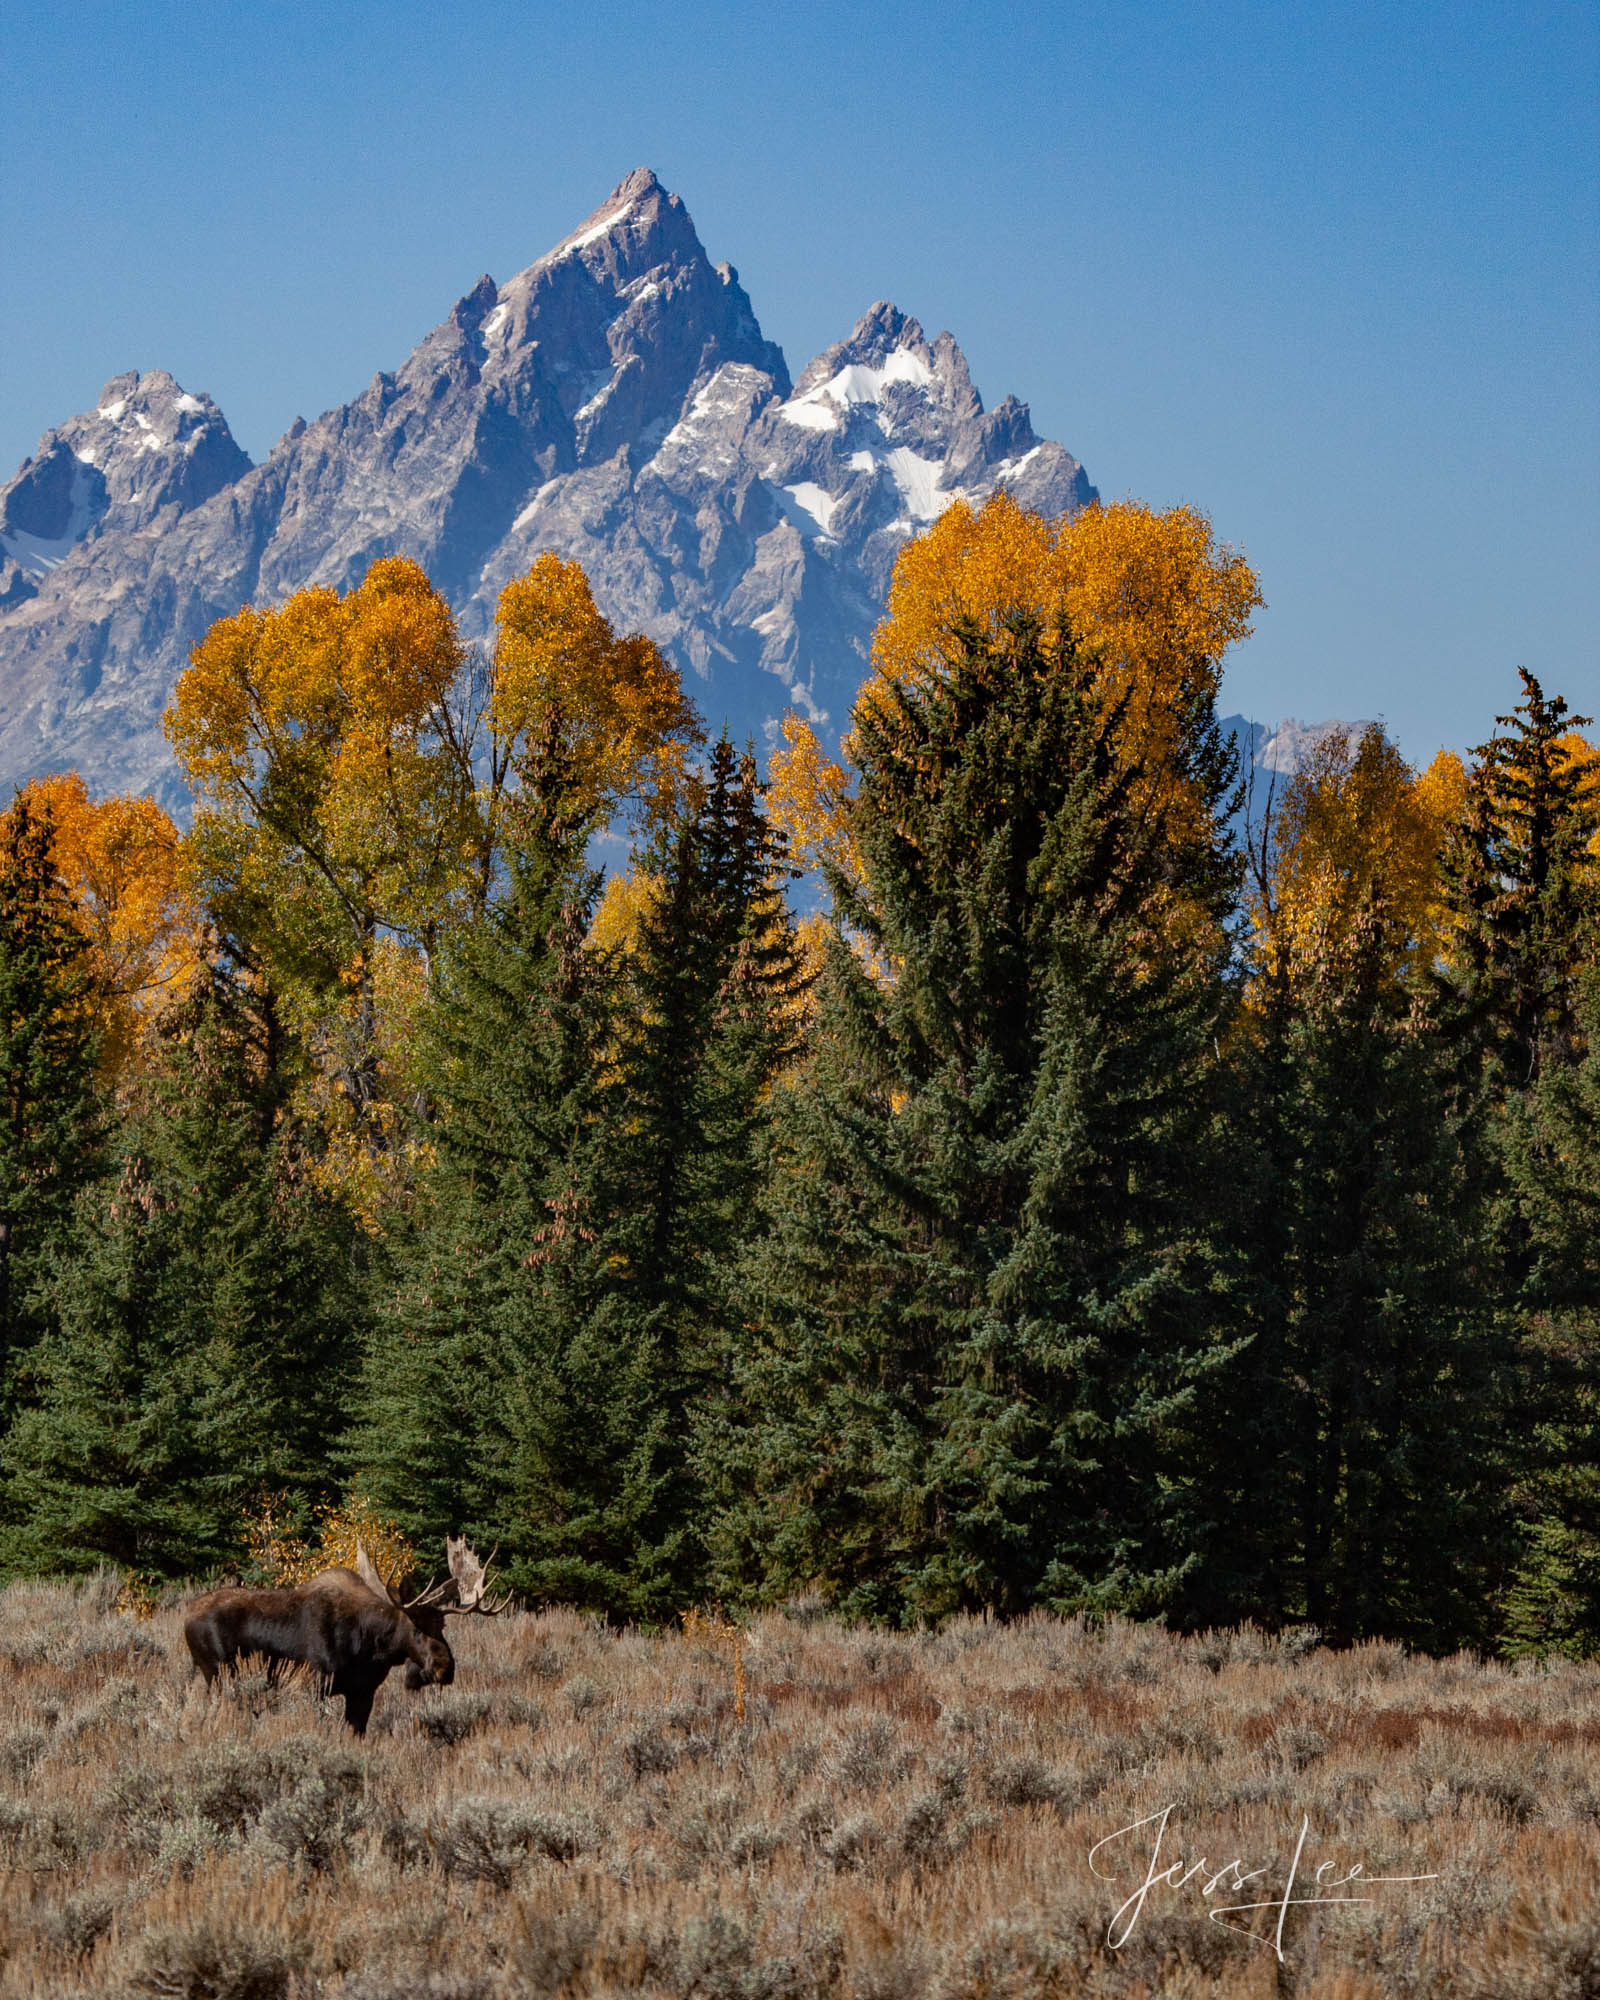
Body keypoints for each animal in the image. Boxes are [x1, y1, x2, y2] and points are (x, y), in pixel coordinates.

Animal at [182, 1536, 510, 1728]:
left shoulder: (362, 1692)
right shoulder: (313, 1683)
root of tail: (186, 1615)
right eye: (416, 1628)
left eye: (443, 1626)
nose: (445, 1667)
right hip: (219, 1673)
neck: (371, 1647)